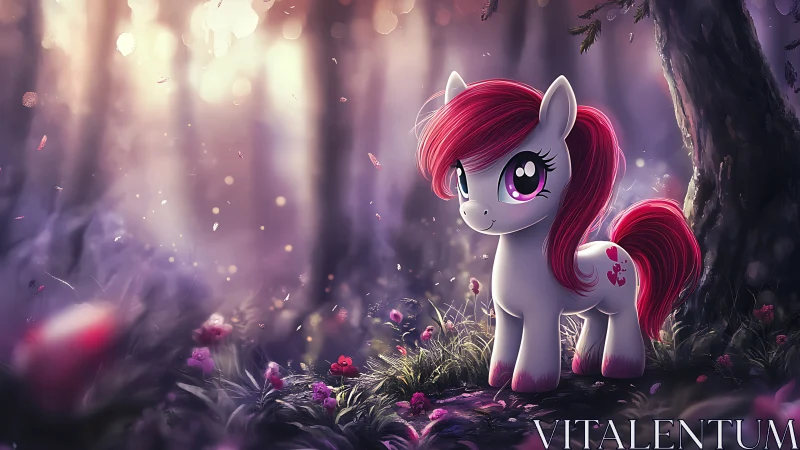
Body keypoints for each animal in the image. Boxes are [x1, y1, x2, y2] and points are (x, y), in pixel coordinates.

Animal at [415, 72, 701, 393]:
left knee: (623, 320)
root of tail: (619, 246)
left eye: (526, 177)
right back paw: (584, 366)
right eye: (462, 176)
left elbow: (536, 350)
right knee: (596, 320)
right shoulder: (507, 316)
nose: (474, 211)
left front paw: (530, 385)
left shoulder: (541, 314)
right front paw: (498, 379)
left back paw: (620, 369)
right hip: (591, 306)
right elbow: (503, 349)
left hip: (621, 300)